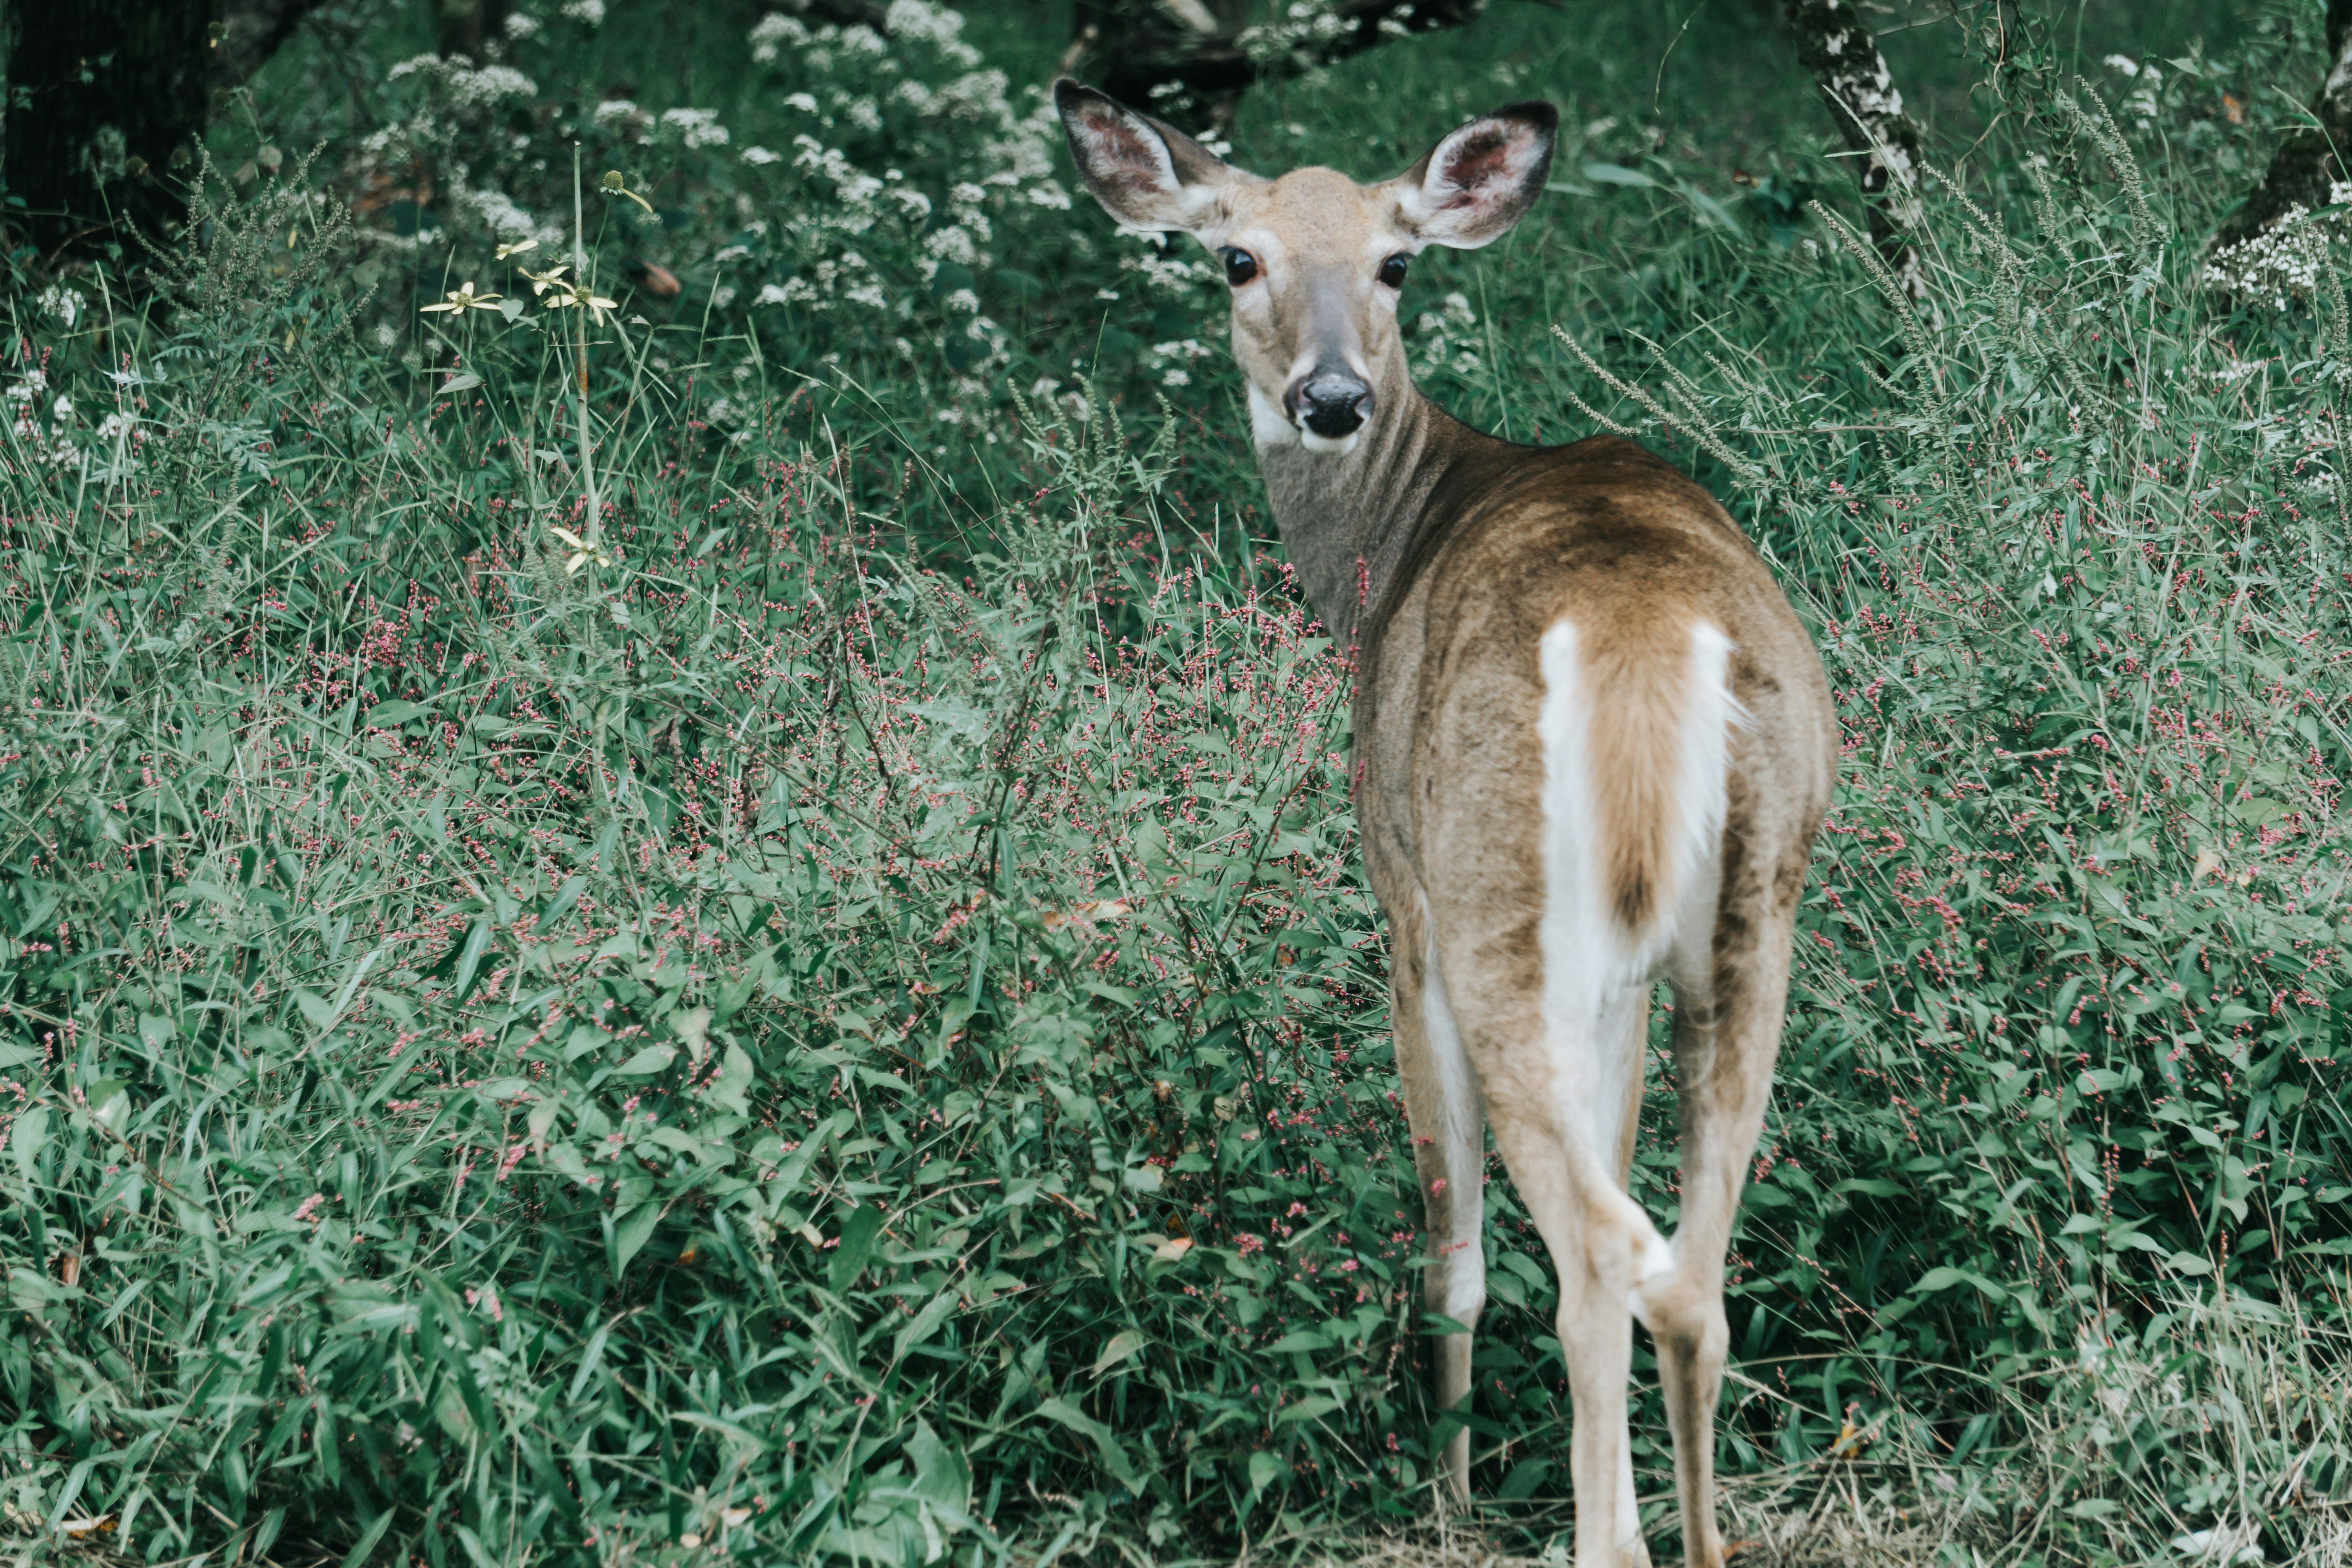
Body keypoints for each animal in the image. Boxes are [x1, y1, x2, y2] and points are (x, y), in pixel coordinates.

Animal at [1055, 82, 1837, 1568]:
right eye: (1234, 257)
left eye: (1396, 266)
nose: (1331, 398)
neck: (1397, 539)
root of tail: (1646, 655)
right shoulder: (1621, 979)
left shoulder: (1401, 898)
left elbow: (1451, 1245)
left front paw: (1448, 1494)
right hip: (1751, 920)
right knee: (1687, 1273)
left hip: (1491, 906)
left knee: (1595, 1257)